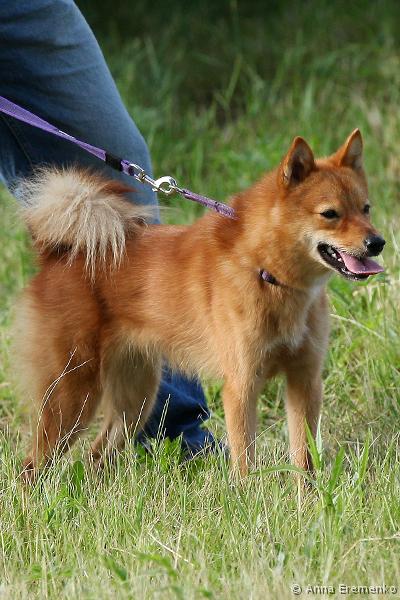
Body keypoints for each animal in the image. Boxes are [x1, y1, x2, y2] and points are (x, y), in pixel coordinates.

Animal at [14, 129, 385, 480]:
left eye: (366, 208)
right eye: (330, 214)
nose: (377, 242)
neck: (266, 272)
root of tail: (58, 254)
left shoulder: (304, 381)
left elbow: (304, 460)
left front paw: (306, 500)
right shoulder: (241, 386)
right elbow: (245, 461)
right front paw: (247, 498)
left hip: (136, 400)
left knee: (96, 454)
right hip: (72, 396)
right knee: (32, 465)